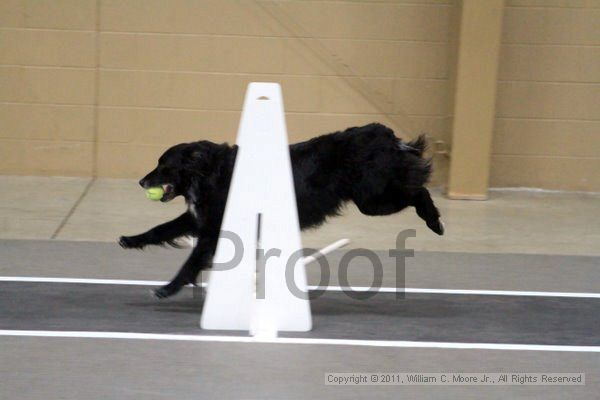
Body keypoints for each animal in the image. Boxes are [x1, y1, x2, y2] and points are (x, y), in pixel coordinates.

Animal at [119, 123, 442, 298]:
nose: (141, 181)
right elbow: (160, 229)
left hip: (372, 199)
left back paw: (435, 221)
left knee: (419, 191)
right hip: (373, 197)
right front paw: (130, 240)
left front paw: (167, 288)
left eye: (164, 166)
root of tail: (384, 133)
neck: (210, 172)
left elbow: (191, 261)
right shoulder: (203, 218)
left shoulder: (214, 229)